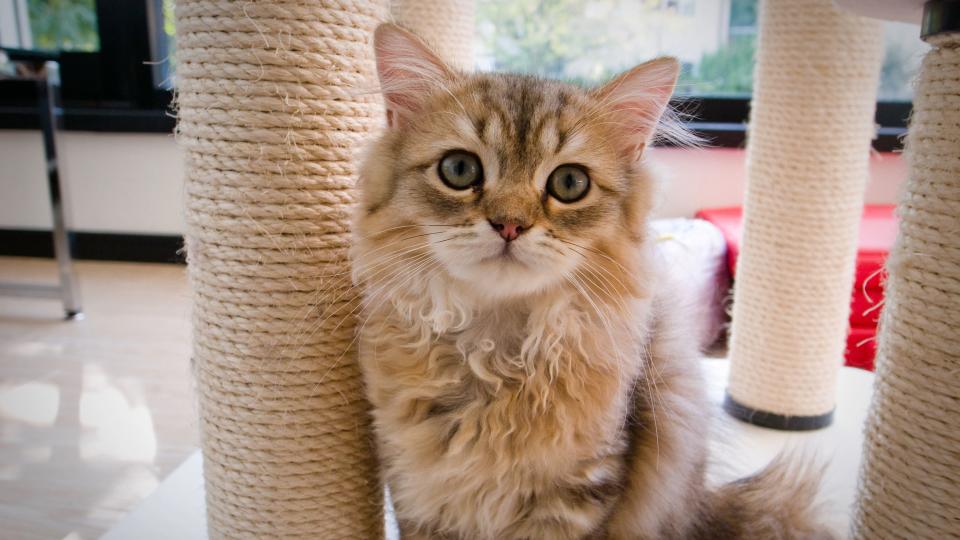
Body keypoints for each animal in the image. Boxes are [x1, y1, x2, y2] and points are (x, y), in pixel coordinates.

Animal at [352, 23, 832, 536]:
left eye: (569, 183)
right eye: (459, 170)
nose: (509, 225)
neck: (496, 355)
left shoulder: (581, 491)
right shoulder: (415, 489)